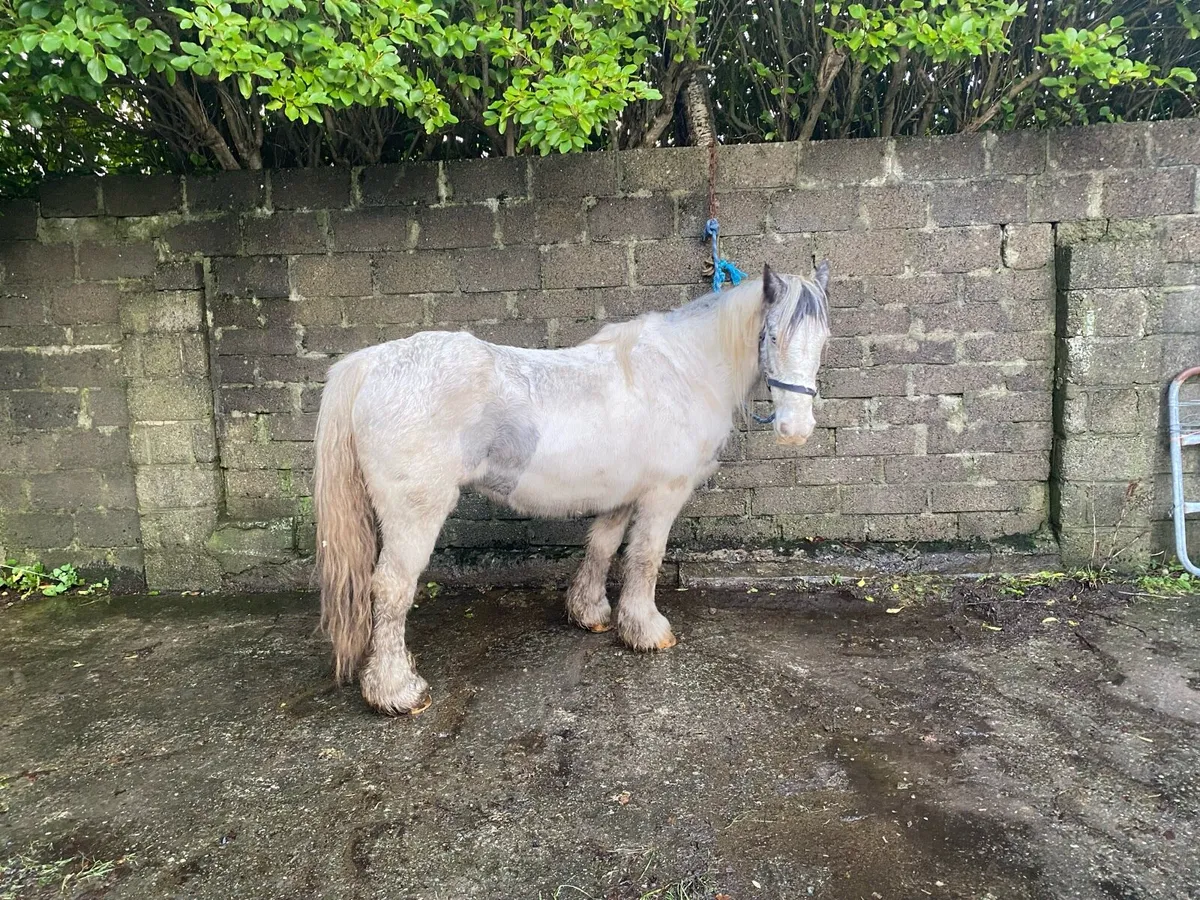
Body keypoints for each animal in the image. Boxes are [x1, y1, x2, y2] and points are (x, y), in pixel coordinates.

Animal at [313, 261, 831, 715]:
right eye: (773, 336)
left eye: (824, 339)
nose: (796, 429)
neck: (685, 371)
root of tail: (370, 363)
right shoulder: (663, 494)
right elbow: (646, 558)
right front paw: (647, 630)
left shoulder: (622, 495)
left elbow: (602, 547)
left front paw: (592, 614)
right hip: (415, 513)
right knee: (392, 588)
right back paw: (396, 691)